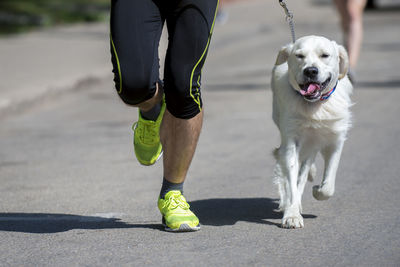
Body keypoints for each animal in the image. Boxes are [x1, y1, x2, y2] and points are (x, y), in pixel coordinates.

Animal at [272, 35, 354, 228]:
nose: (310, 71)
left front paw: (318, 189)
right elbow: (292, 178)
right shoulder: (291, 139)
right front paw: (292, 215)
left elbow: (328, 185)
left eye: (325, 55)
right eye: (299, 55)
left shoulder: (335, 139)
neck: (315, 106)